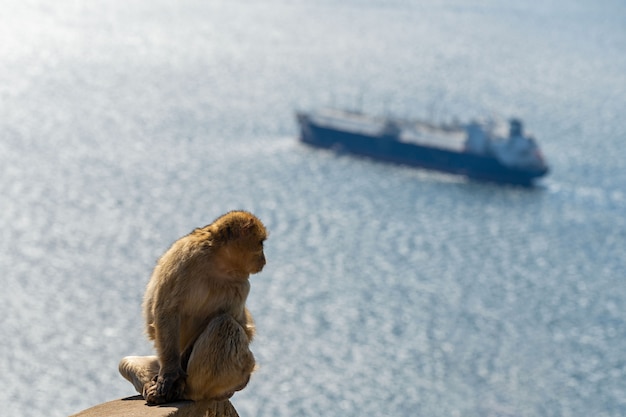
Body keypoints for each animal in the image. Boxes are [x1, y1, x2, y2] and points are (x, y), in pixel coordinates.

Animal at [119, 210, 266, 404]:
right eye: (261, 243)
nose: (264, 259)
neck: (217, 260)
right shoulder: (185, 255)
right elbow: (167, 310)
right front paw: (170, 374)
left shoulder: (242, 285)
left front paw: (172, 381)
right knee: (125, 362)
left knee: (224, 324)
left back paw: (186, 391)